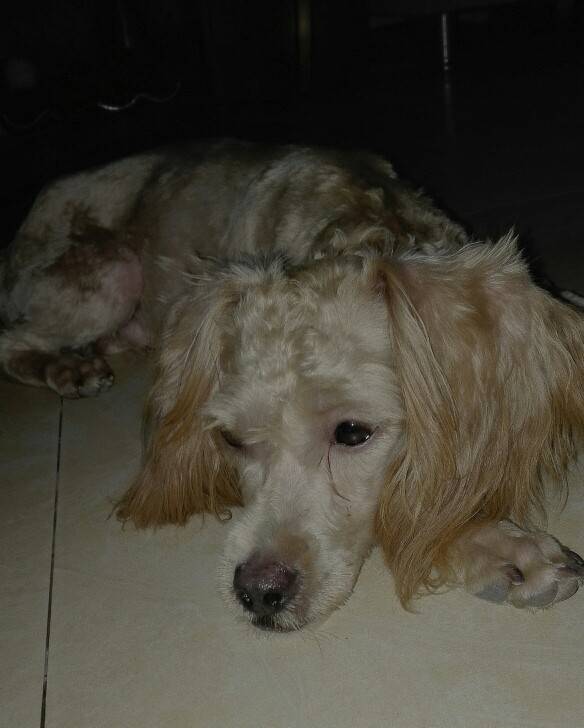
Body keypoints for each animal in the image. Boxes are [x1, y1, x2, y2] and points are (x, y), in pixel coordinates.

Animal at [2, 139, 583, 631]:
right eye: (231, 439)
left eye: (352, 433)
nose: (259, 594)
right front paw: (496, 546)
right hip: (108, 274)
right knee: (12, 336)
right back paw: (66, 367)